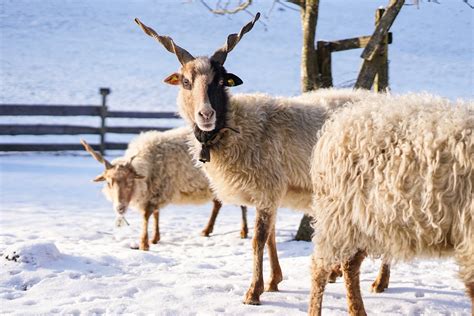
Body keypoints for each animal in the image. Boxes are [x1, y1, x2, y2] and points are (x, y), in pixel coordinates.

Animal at [79, 127, 250, 251]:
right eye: (109, 182)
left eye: (129, 182)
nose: (120, 208)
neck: (148, 163)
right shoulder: (155, 191)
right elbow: (156, 214)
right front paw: (155, 238)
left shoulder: (157, 190)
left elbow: (146, 216)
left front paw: (144, 244)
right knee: (217, 204)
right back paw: (207, 230)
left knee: (241, 205)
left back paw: (243, 231)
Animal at [310, 92, 472, 314]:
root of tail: (338, 121)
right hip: (337, 217)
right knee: (320, 269)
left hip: (365, 222)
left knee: (350, 265)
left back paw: (358, 311)